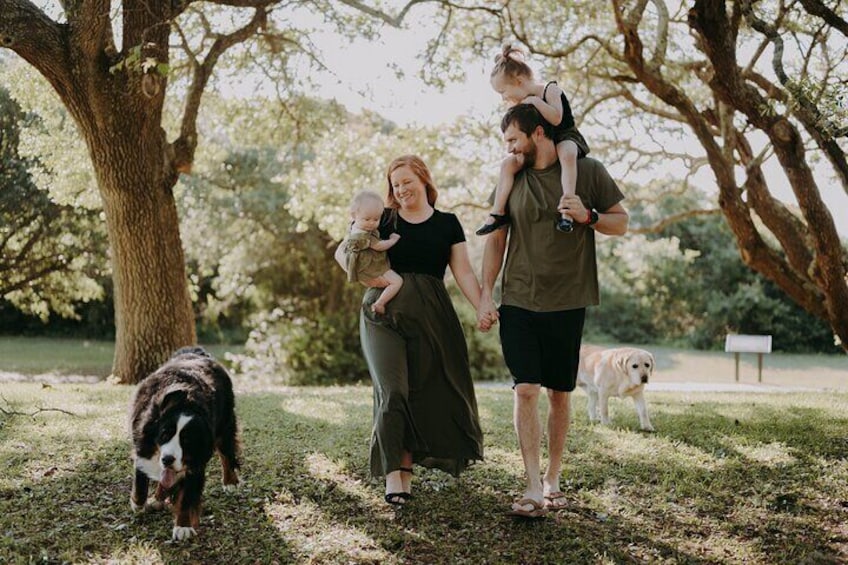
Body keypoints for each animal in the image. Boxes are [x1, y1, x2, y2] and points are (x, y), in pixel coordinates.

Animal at [129, 346, 242, 540]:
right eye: (165, 434)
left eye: (187, 441)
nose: (167, 459)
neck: (184, 403)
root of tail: (198, 351)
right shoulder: (143, 443)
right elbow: (141, 479)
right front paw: (138, 502)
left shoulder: (195, 461)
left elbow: (187, 497)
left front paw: (183, 526)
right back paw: (157, 498)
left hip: (224, 424)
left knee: (226, 453)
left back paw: (230, 482)